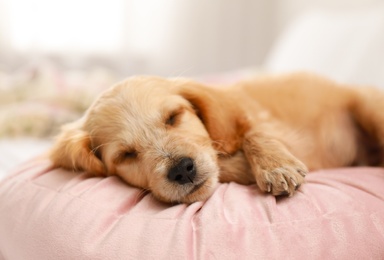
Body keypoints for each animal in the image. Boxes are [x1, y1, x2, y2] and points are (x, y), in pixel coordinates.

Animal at [48, 72, 384, 203]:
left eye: (174, 117)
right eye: (125, 155)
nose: (182, 170)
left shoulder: (259, 117)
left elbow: (252, 131)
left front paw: (275, 166)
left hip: (369, 107)